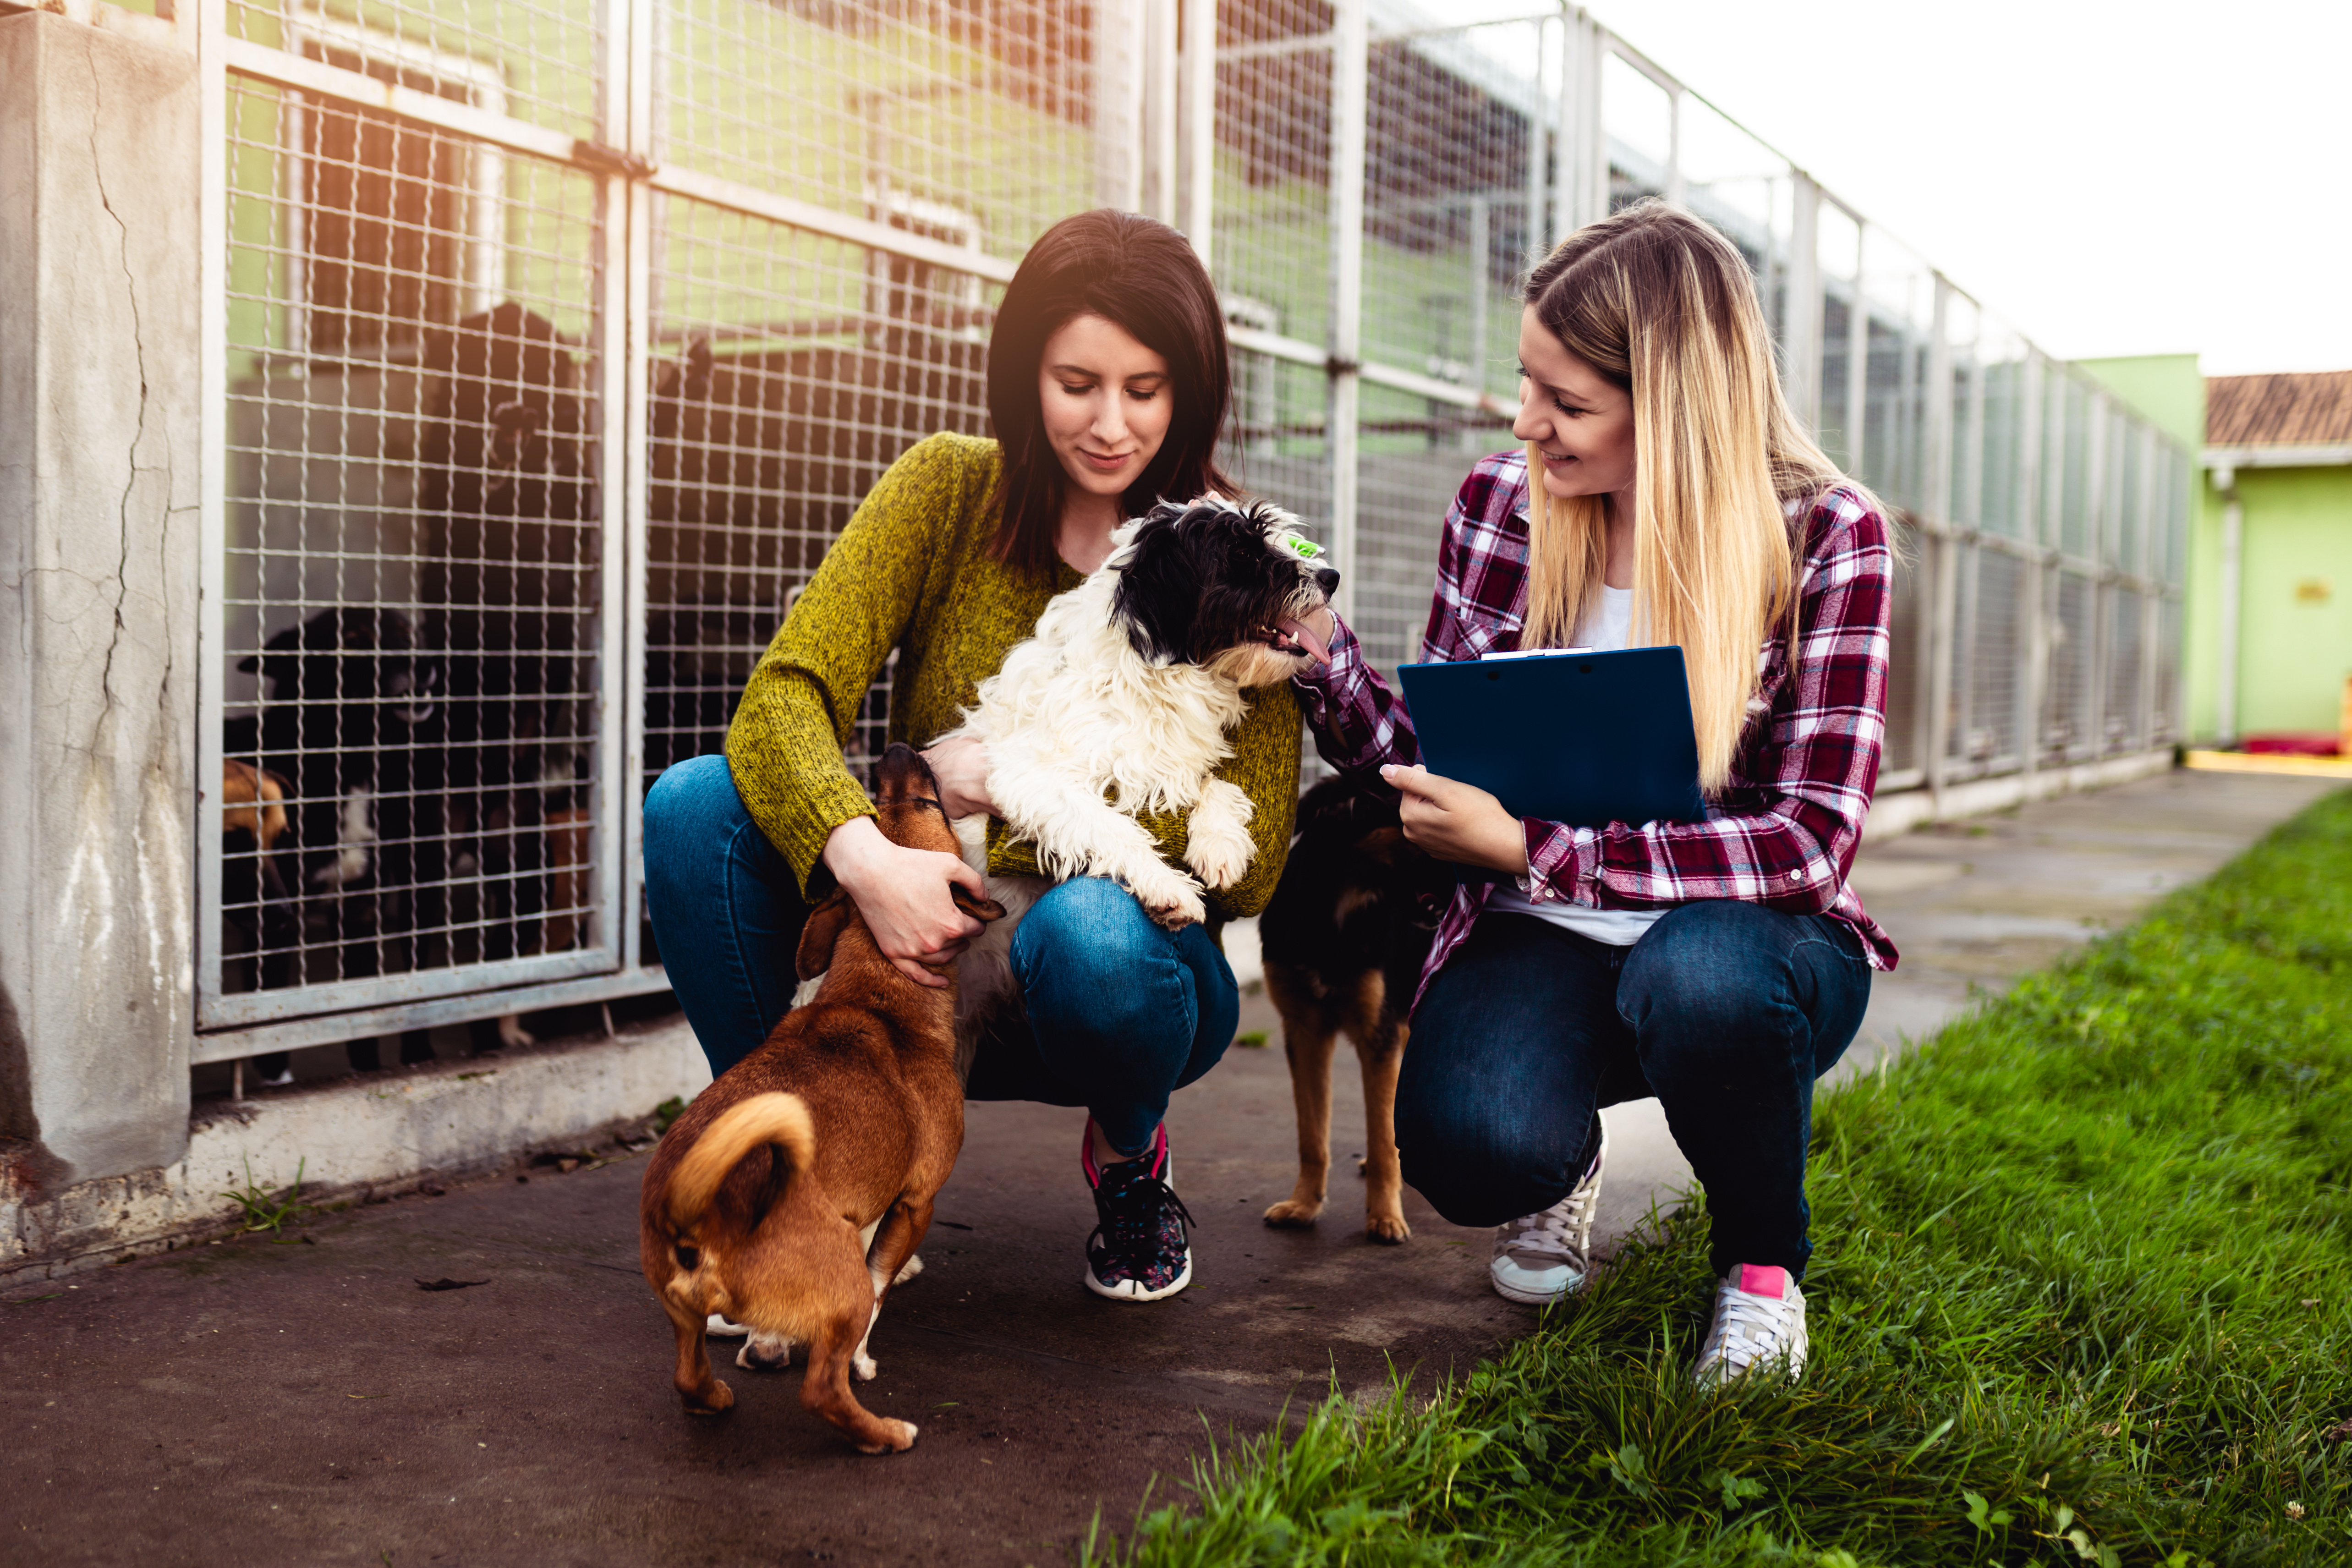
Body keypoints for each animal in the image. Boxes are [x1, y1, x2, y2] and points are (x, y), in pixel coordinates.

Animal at [640, 743, 1006, 1457]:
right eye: (928, 802)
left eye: (878, 800)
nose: (895, 748)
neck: (874, 992)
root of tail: (705, 1209)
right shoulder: (916, 1201)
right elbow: (880, 1278)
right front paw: (865, 1354)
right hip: (837, 1288)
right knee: (823, 1387)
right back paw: (884, 1432)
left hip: (678, 1312)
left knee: (686, 1373)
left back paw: (718, 1391)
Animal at [936, 496, 1345, 1072]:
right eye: (1242, 553)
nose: (1330, 577)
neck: (1155, 677)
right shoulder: (1026, 774)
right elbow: (1110, 824)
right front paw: (1165, 885)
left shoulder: (1178, 763)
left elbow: (1215, 785)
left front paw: (1220, 846)